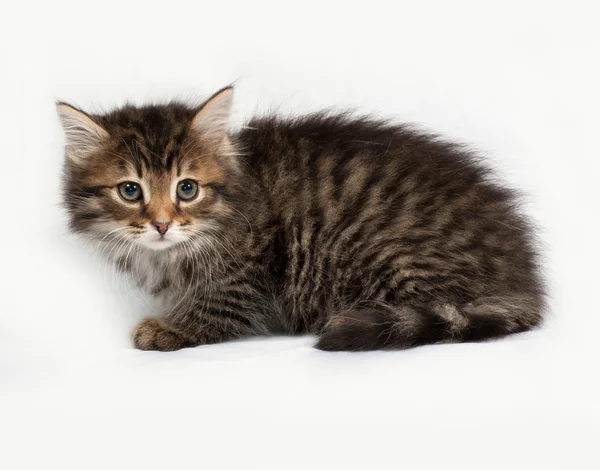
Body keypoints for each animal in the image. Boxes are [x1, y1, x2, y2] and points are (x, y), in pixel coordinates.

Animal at [58, 87, 548, 352]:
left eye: (187, 189)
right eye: (130, 191)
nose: (161, 224)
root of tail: (523, 278)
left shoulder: (250, 266)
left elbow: (219, 305)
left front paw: (171, 327)